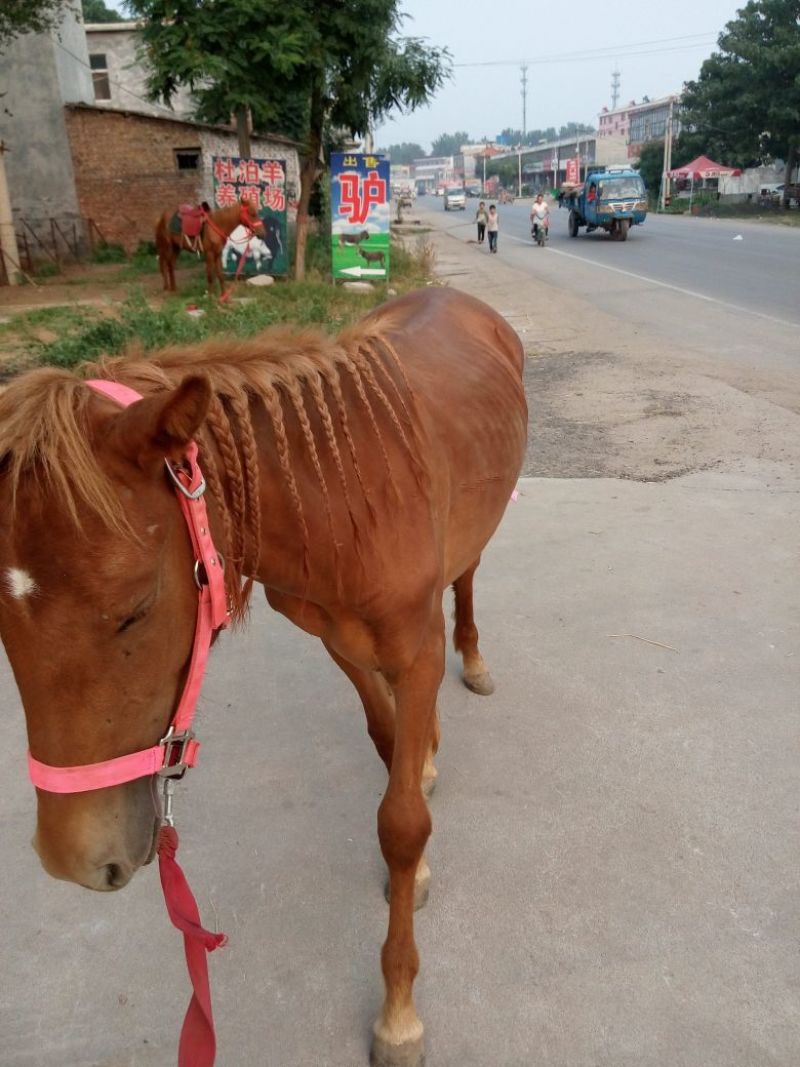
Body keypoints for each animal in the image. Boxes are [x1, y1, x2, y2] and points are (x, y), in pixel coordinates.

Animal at [0, 287, 527, 1067]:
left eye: (135, 611)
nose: (73, 858)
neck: (344, 497)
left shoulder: (415, 649)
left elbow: (402, 822)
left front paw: (398, 1015)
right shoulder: (336, 640)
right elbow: (386, 742)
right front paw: (418, 783)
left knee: (465, 579)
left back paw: (474, 661)